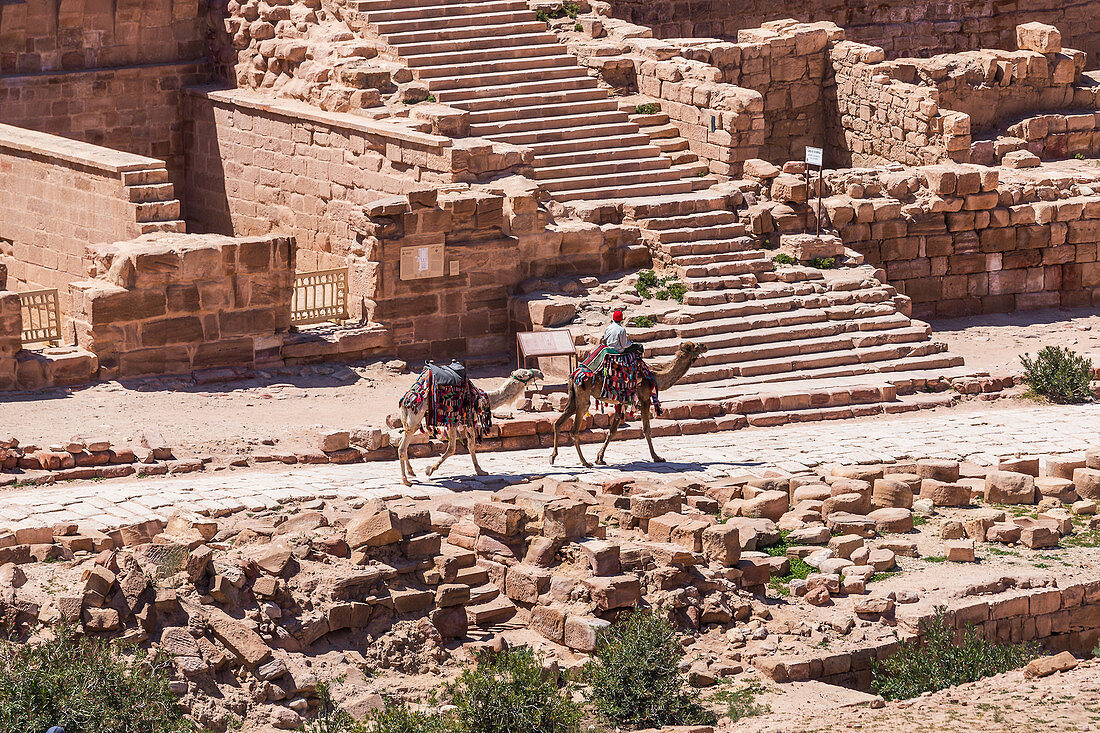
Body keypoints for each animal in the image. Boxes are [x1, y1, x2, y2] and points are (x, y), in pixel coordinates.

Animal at [400, 367, 545, 482]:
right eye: (525, 373)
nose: (540, 373)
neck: (482, 399)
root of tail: (406, 399)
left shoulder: (462, 421)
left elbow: (467, 446)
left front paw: (480, 471)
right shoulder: (461, 419)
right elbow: (456, 447)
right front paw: (430, 469)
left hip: (410, 420)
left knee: (403, 443)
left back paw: (411, 472)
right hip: (415, 416)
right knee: (402, 446)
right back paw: (406, 480)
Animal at [547, 338, 704, 464]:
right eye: (694, 346)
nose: (704, 345)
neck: (654, 375)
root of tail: (574, 375)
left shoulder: (621, 402)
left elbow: (612, 430)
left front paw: (600, 458)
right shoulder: (645, 397)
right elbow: (647, 429)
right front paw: (657, 457)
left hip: (573, 398)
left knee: (558, 422)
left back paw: (553, 457)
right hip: (583, 396)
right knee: (574, 429)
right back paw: (585, 462)